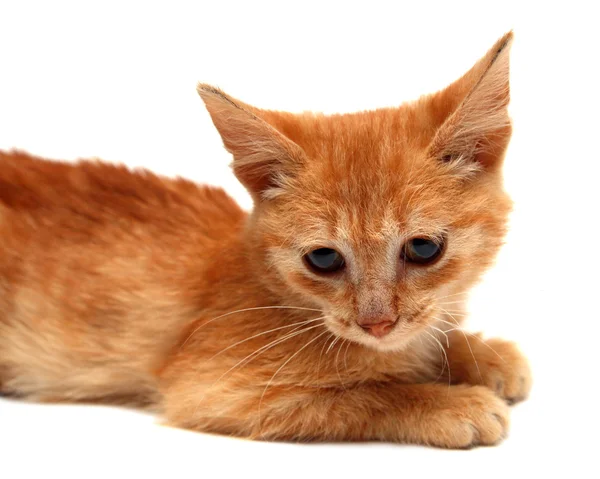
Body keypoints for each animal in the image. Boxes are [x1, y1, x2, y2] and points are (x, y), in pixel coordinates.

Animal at [2, 31, 532, 448]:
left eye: (423, 249)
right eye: (323, 259)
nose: (377, 323)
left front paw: (478, 353)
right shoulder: (215, 388)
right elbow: (365, 396)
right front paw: (446, 403)